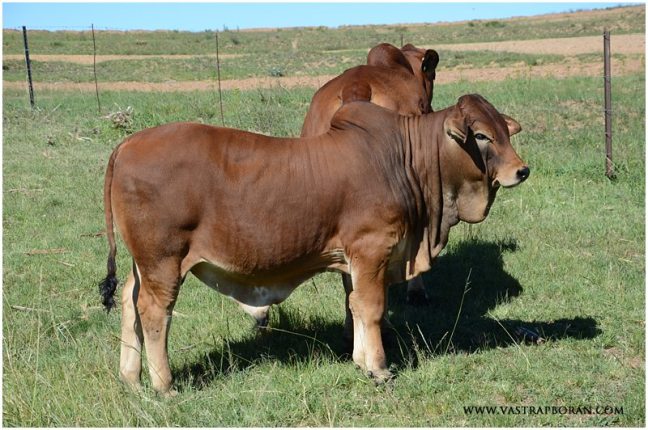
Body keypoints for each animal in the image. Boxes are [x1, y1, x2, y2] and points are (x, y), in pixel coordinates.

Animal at [99, 94, 529, 395]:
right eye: (481, 135)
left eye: (504, 131)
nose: (522, 170)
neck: (407, 161)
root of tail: (127, 144)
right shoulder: (372, 249)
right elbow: (372, 309)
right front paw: (379, 368)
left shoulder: (354, 261)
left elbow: (355, 307)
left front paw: (360, 360)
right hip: (164, 261)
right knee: (154, 312)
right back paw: (164, 385)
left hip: (143, 264)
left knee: (128, 301)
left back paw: (130, 377)